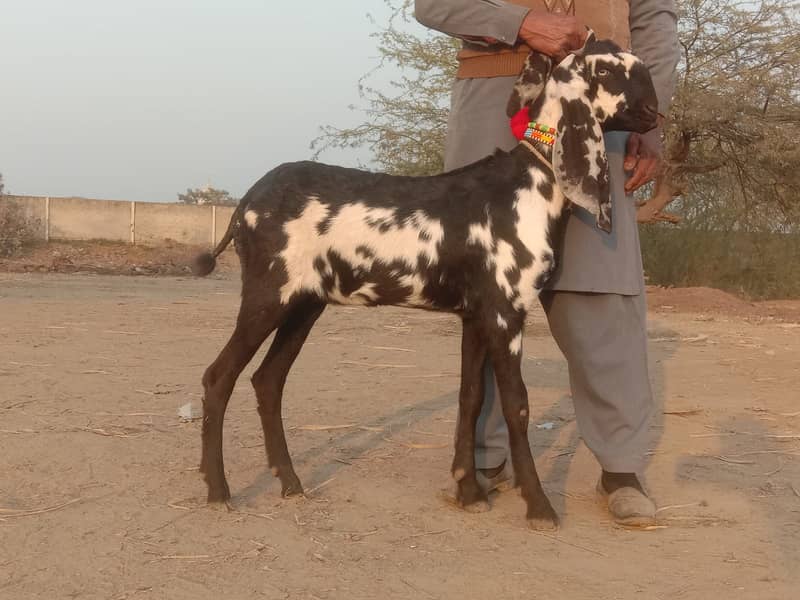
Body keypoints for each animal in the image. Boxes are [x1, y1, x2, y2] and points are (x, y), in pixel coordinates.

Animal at [192, 34, 656, 528]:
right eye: (606, 70)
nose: (653, 109)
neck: (528, 185)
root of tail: (245, 204)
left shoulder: (476, 315)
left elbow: (471, 397)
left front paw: (469, 491)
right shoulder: (506, 311)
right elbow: (516, 404)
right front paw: (539, 507)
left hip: (304, 303)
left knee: (267, 381)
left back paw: (290, 482)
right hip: (267, 295)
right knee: (218, 376)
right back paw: (218, 490)